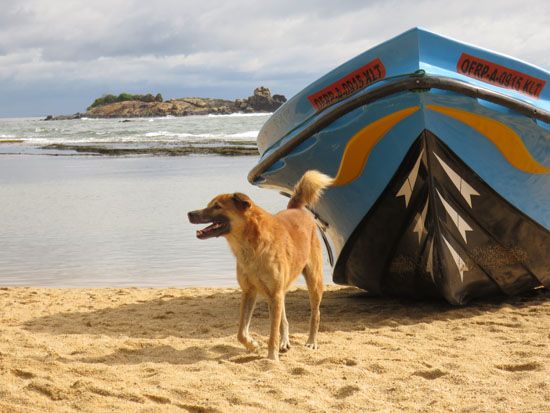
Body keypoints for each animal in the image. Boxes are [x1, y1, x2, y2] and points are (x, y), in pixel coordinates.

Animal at [188, 169, 334, 358]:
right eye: (210, 204)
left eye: (217, 206)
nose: (189, 213)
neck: (250, 247)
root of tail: (296, 209)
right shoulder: (250, 291)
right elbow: (241, 332)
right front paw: (253, 345)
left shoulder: (274, 294)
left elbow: (272, 334)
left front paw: (271, 358)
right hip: (279, 292)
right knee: (284, 320)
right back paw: (285, 342)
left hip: (313, 281)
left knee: (315, 314)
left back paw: (311, 341)